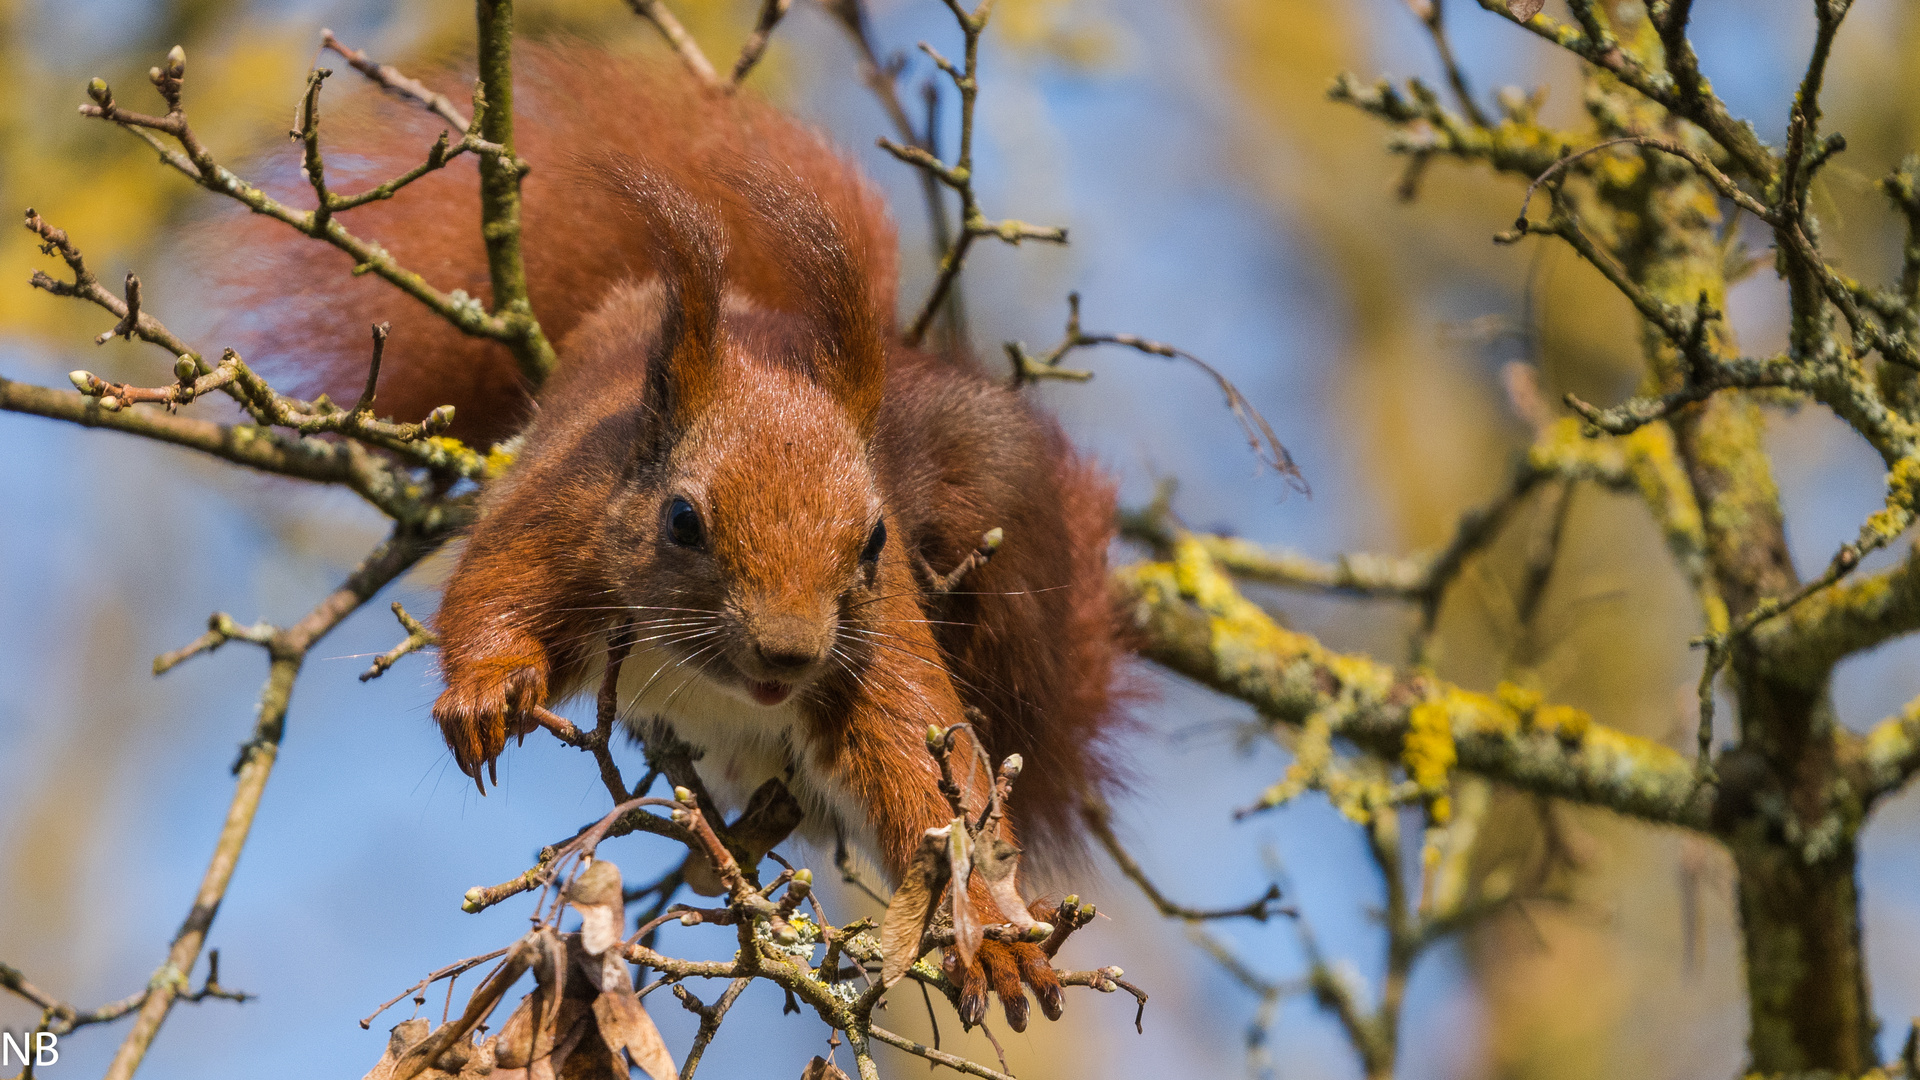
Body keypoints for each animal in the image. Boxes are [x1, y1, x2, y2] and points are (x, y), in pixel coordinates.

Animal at [219, 42, 1128, 1022]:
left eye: (874, 542)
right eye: (683, 520)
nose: (788, 651)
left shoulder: (877, 639)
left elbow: (930, 765)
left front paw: (990, 930)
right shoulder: (564, 511)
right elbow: (493, 583)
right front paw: (486, 692)